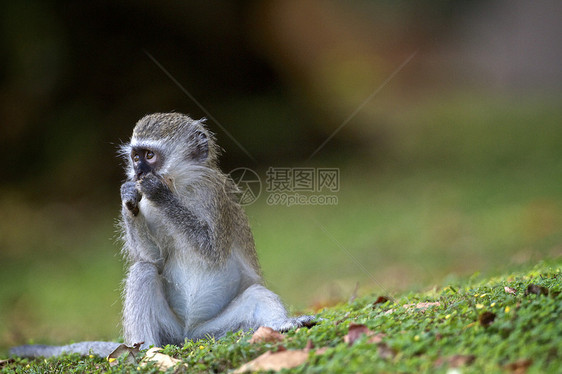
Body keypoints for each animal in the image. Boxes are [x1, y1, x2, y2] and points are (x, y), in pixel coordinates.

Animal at [10, 113, 312, 356]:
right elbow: (153, 259)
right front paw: (128, 199)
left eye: (149, 156)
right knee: (143, 271)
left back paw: (282, 324)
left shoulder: (215, 196)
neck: (180, 186)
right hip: (170, 331)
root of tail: (189, 336)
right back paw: (144, 352)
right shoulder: (149, 209)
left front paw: (157, 191)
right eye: (135, 157)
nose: (138, 172)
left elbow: (211, 250)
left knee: (257, 294)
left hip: (217, 332)